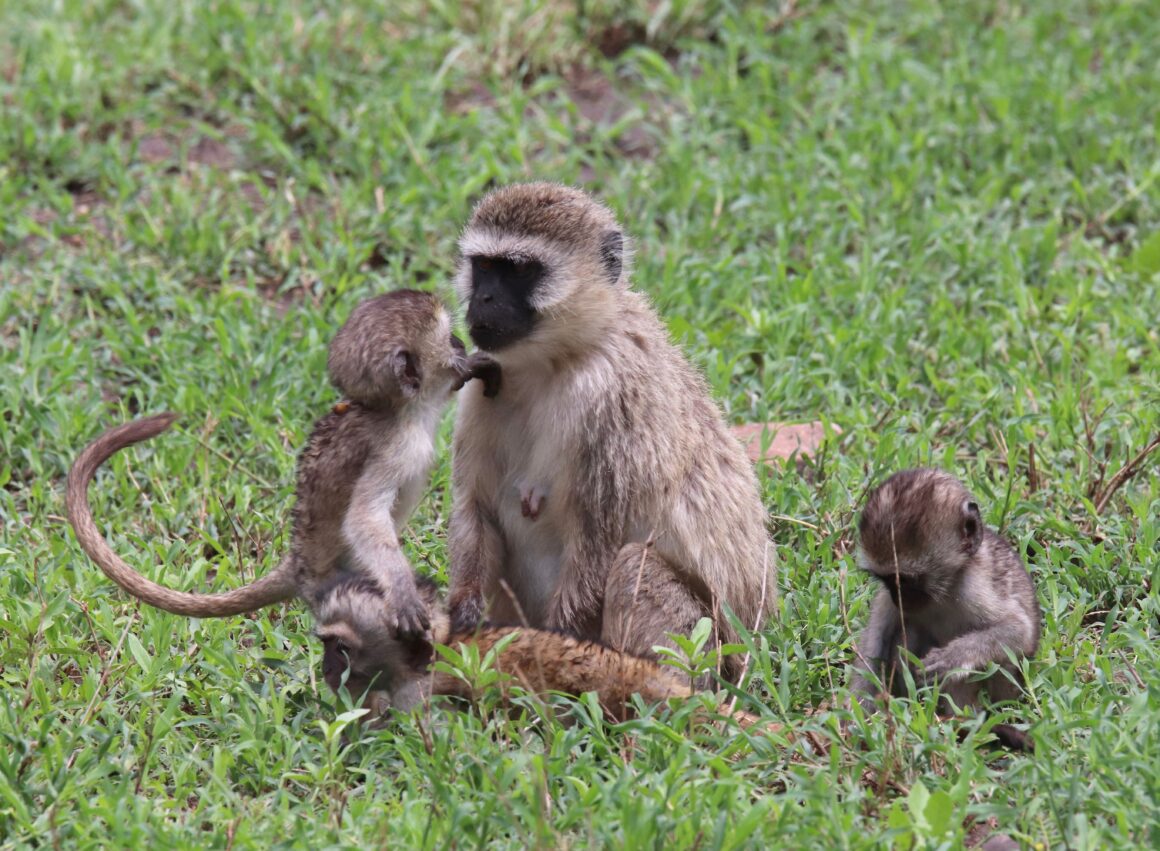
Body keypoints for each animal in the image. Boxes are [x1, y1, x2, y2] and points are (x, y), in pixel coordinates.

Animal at [67, 289, 490, 641]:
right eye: (449, 338)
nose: (461, 345)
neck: (395, 411)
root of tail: (298, 563)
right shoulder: (395, 450)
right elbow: (363, 518)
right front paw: (403, 592)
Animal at [446, 183, 776, 682]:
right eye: (483, 267)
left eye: (518, 270)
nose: (481, 300)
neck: (557, 361)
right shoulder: (483, 385)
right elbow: (477, 508)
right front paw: (462, 616)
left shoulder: (609, 399)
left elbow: (599, 543)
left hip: (705, 652)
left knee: (631, 566)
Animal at [850, 468, 1042, 751]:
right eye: (887, 580)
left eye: (907, 580)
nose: (900, 598)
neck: (944, 591)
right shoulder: (886, 602)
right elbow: (873, 651)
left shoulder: (975, 588)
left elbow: (1019, 630)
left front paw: (951, 659)